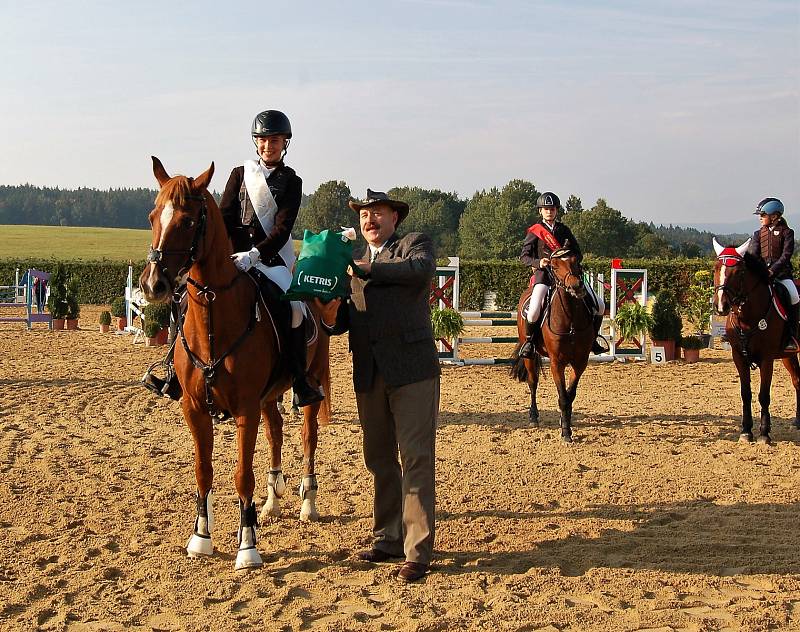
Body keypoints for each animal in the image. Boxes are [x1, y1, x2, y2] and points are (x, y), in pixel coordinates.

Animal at [141, 157, 332, 568]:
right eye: (152, 216)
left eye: (187, 221)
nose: (152, 285)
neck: (215, 319)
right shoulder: (194, 408)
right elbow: (203, 471)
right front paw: (201, 538)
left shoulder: (245, 407)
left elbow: (242, 475)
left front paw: (247, 547)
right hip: (269, 397)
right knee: (276, 431)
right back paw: (273, 501)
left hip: (309, 384)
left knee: (308, 437)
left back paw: (307, 504)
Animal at [512, 244, 592, 442]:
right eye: (553, 266)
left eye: (575, 261)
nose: (576, 286)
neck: (570, 319)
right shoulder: (557, 363)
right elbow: (562, 396)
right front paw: (565, 432)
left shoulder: (580, 362)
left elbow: (570, 395)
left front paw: (566, 422)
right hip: (530, 355)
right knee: (532, 382)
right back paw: (533, 417)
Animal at [712, 238, 800, 444]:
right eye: (715, 268)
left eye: (738, 272)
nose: (721, 306)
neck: (747, 317)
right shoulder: (739, 357)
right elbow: (746, 393)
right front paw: (746, 431)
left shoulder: (766, 359)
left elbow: (764, 395)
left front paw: (764, 433)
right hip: (788, 356)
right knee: (797, 380)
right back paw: (798, 422)